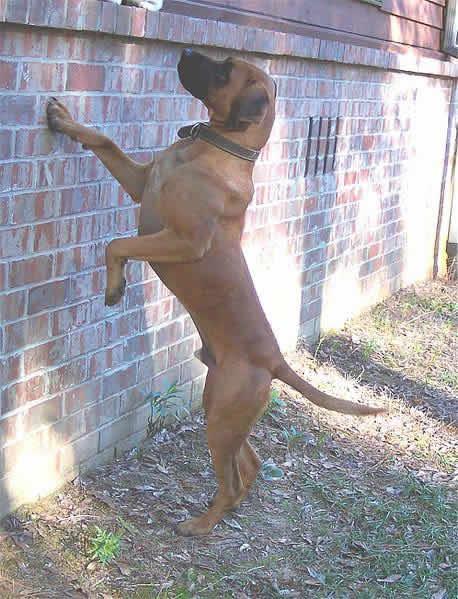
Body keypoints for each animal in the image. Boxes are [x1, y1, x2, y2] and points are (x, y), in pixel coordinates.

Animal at [46, 49, 384, 536]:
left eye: (224, 71)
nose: (186, 52)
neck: (212, 148)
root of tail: (274, 360)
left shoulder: (183, 241)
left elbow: (117, 244)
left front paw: (115, 285)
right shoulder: (139, 182)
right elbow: (105, 141)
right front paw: (65, 120)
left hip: (222, 416)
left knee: (232, 477)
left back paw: (200, 524)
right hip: (219, 407)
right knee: (249, 465)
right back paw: (224, 508)